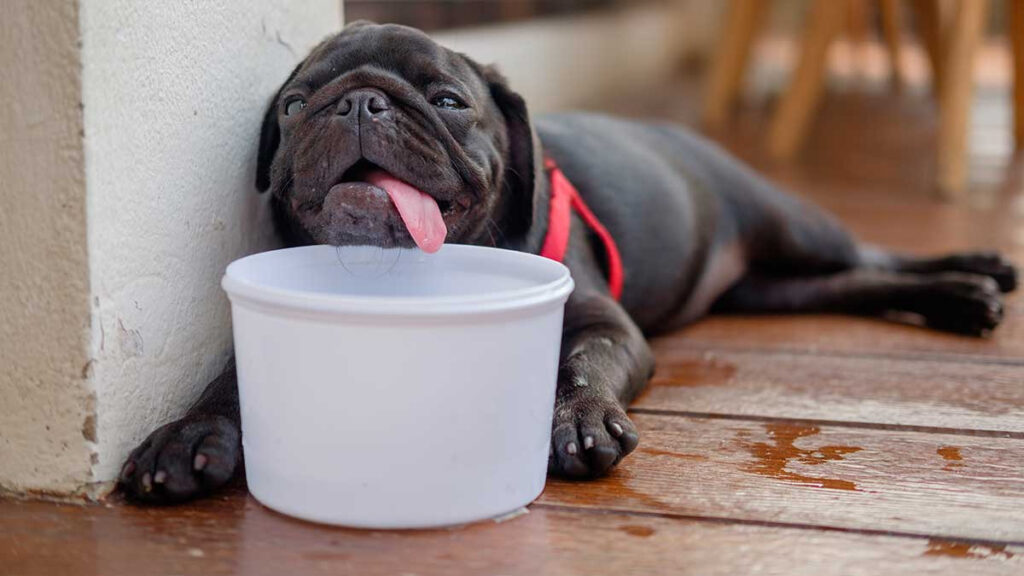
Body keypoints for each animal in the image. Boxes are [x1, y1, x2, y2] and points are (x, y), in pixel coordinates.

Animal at [119, 20, 1015, 500]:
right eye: (297, 105)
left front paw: (579, 419)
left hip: (792, 224)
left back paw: (976, 275)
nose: (359, 102)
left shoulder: (601, 322)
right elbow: (229, 377)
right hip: (771, 290)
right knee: (847, 283)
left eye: (448, 102)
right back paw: (961, 297)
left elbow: (580, 364)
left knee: (871, 252)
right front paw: (186, 434)